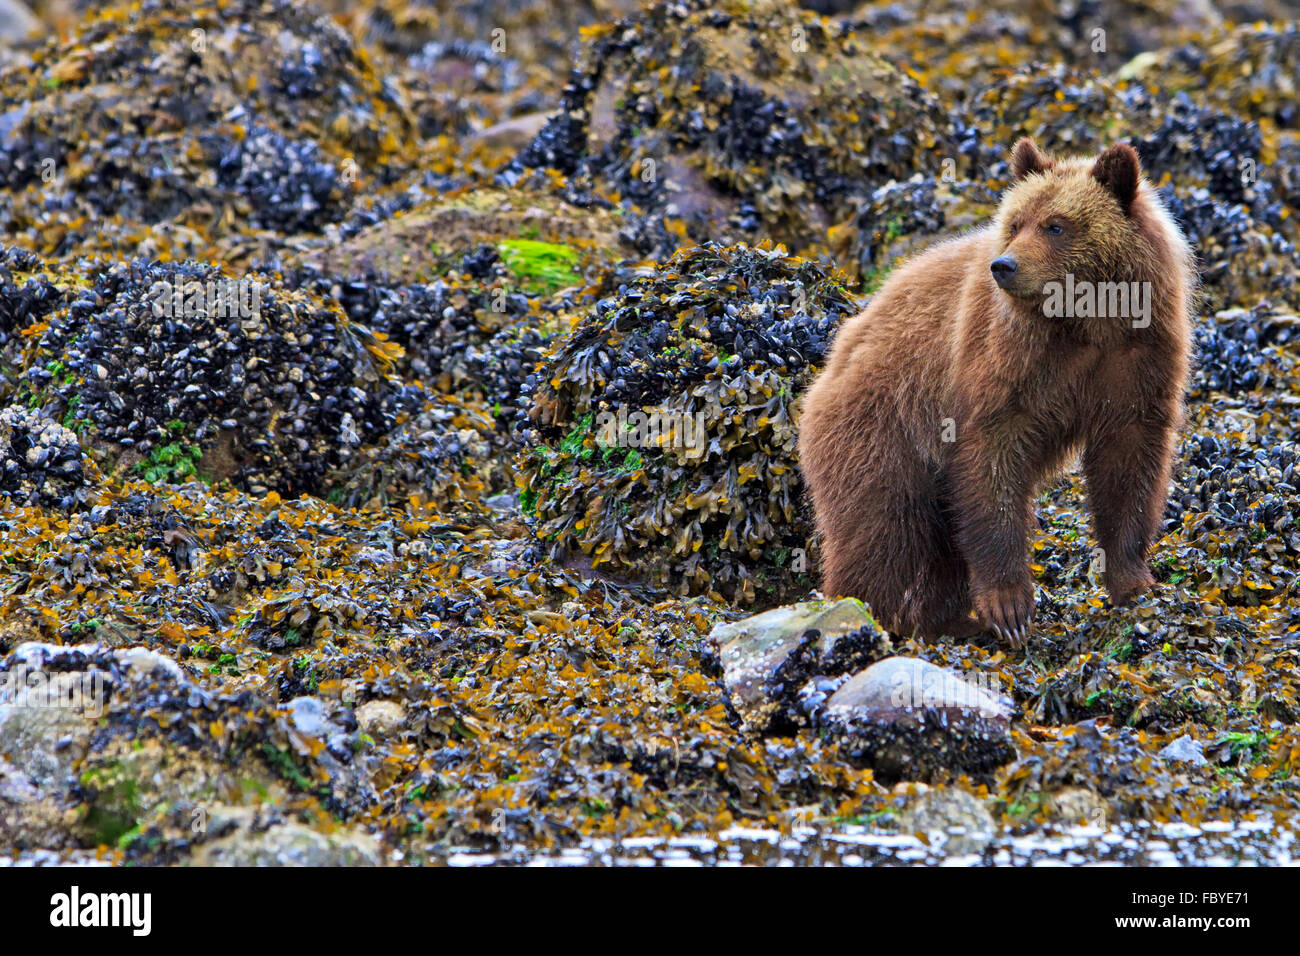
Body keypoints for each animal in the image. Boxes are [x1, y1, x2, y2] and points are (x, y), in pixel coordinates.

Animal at [800, 138, 1196, 647]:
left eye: (1055, 225)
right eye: (1015, 223)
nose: (1004, 266)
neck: (1086, 322)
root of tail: (825, 371)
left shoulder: (1137, 358)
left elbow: (1129, 463)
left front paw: (1135, 581)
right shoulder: (1006, 359)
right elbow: (993, 463)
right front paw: (1010, 605)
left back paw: (944, 619)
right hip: (881, 426)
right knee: (881, 526)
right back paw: (867, 613)